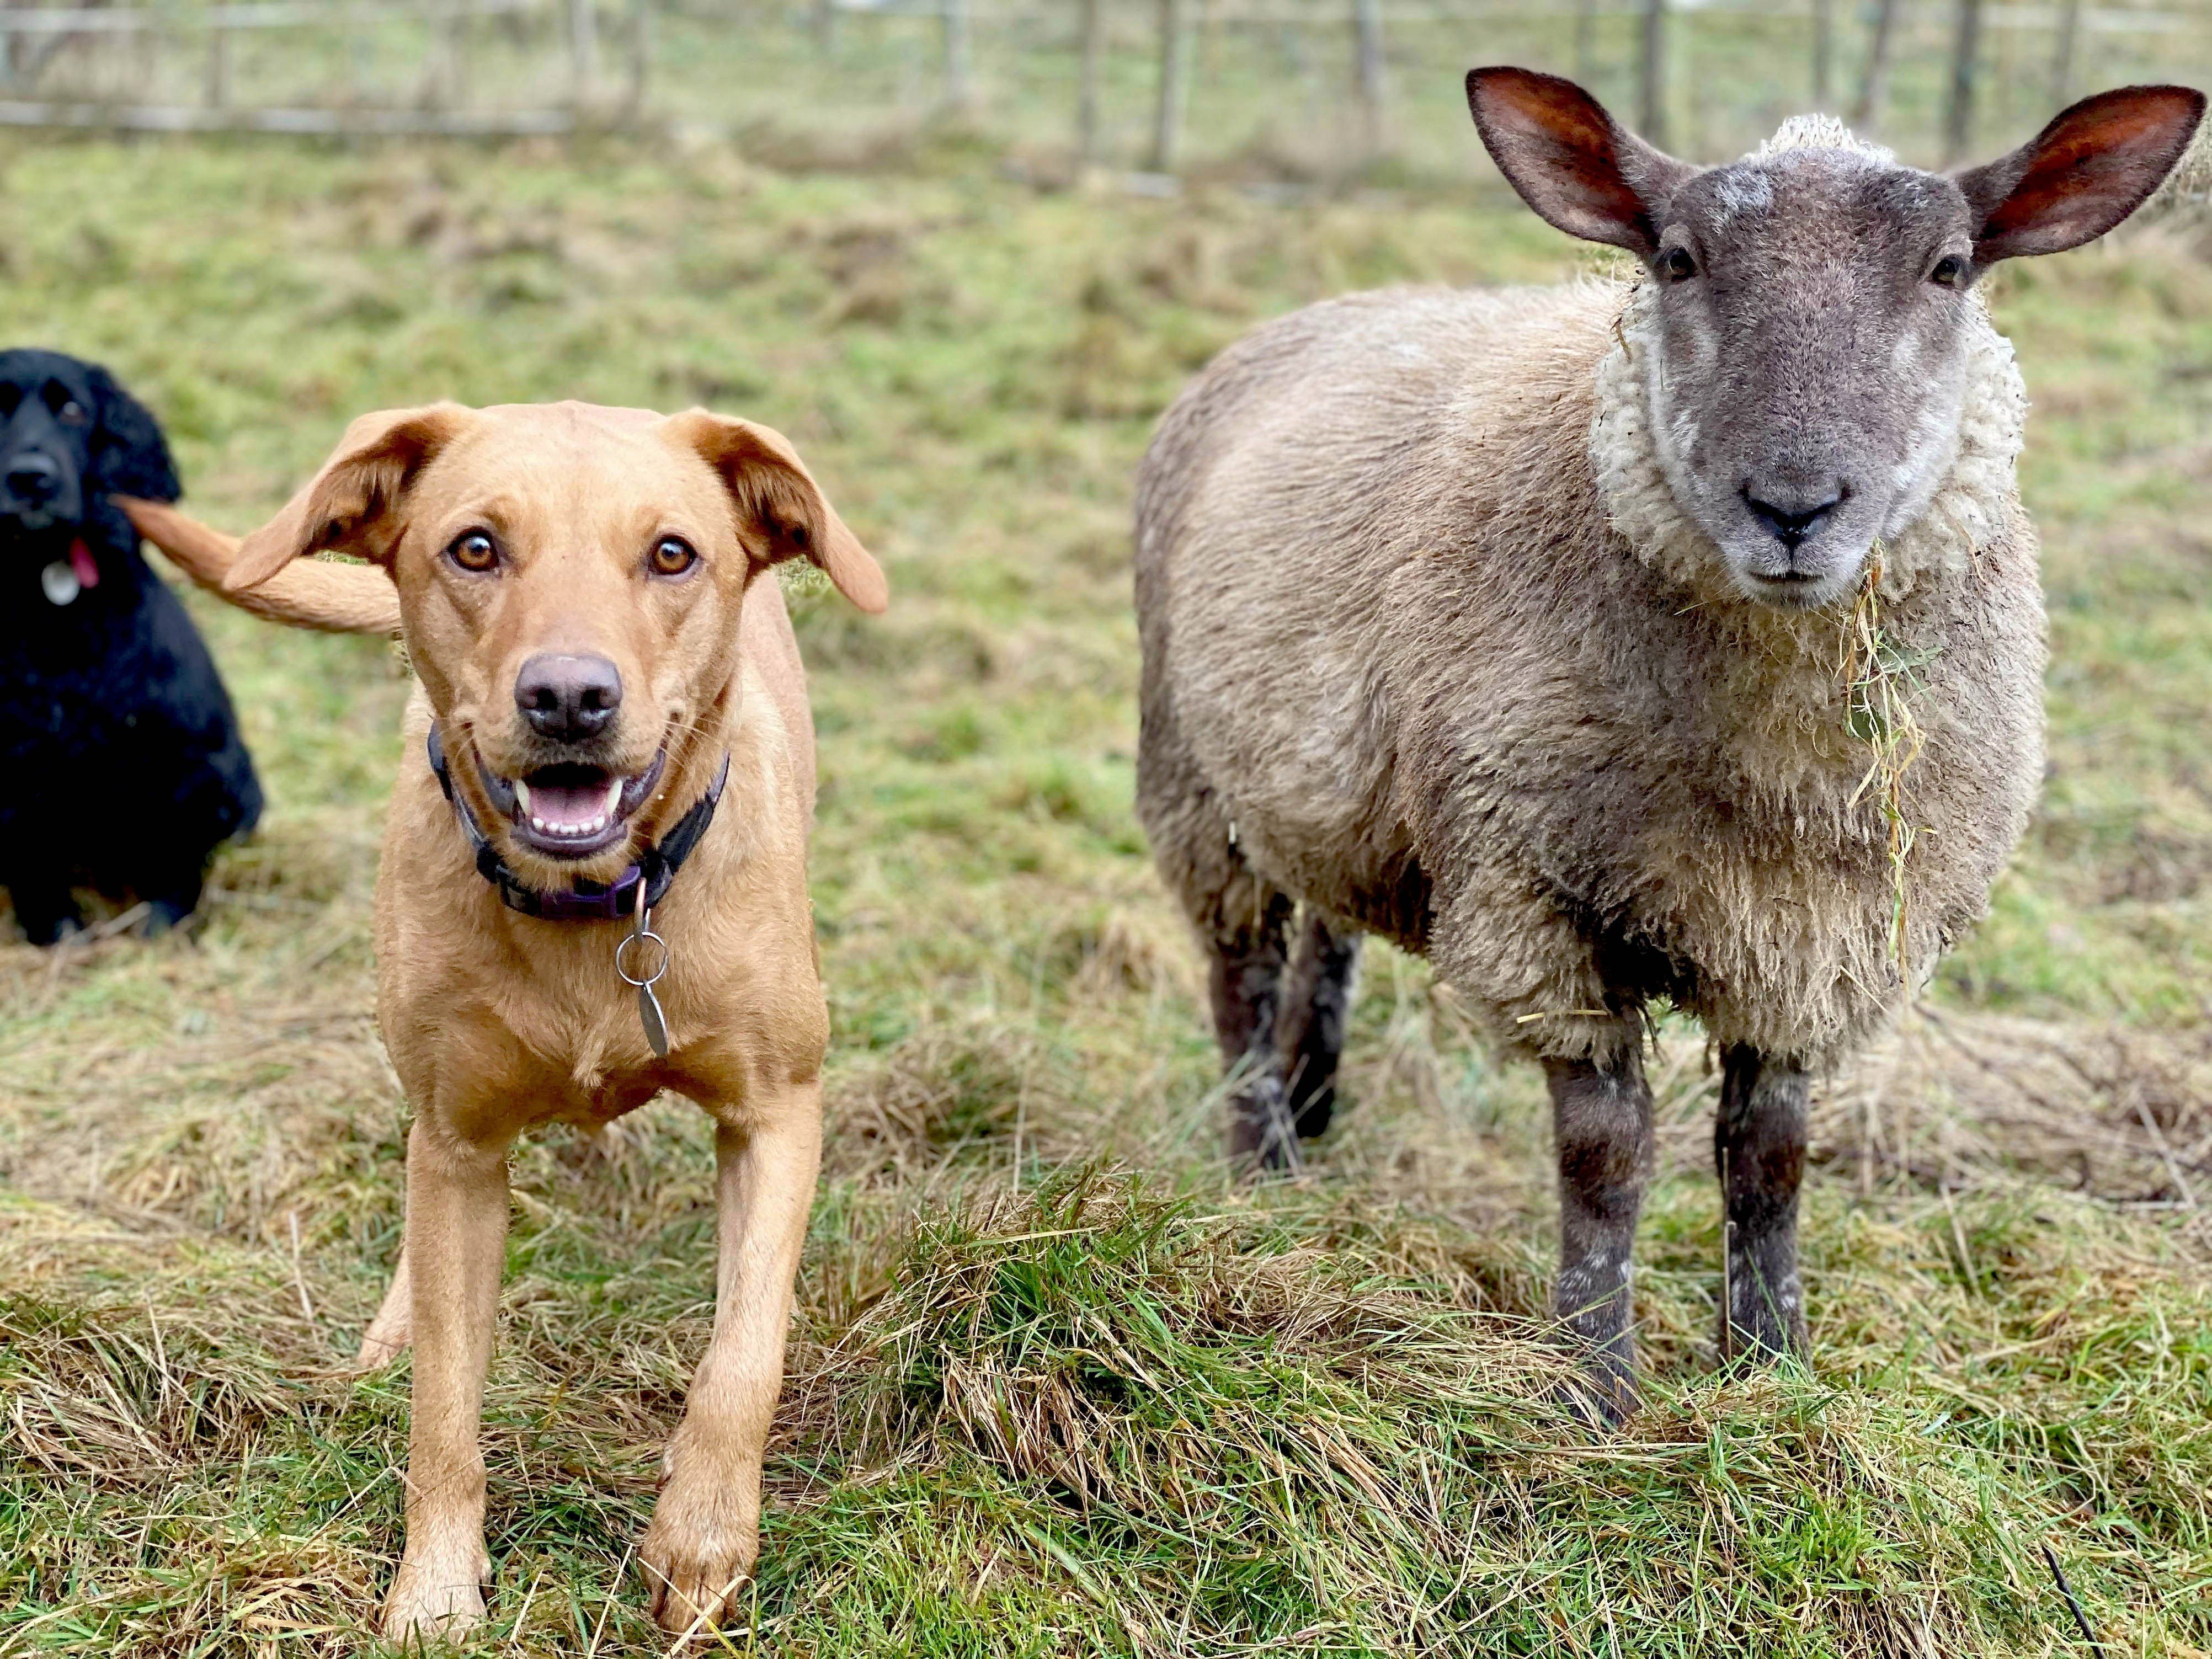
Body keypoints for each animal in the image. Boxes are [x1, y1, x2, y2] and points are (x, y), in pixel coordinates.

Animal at [1, 351, 261, 946]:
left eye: (73, 410)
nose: (30, 478)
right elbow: (31, 857)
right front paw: (55, 932)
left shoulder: (182, 758)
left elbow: (174, 854)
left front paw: (164, 925)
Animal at [123, 400, 889, 1636]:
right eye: (475, 548)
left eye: (671, 554)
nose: (569, 699)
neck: (592, 909)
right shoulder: (463, 1142)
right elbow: (445, 1400)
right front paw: (435, 1592)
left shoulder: (778, 1114)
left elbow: (744, 1352)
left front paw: (701, 1538)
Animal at [1132, 68, 2203, 1415]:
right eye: (1679, 258)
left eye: (1950, 266)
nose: (1793, 508)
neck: (1783, 774)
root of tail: (1323, 308)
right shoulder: (1534, 902)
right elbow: (1606, 1157)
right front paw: (1592, 1378)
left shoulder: (1823, 938)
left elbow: (1770, 1159)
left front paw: (1770, 1367)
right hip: (1188, 775)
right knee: (1241, 976)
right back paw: (1264, 1167)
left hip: (1337, 791)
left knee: (1328, 927)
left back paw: (1318, 1104)